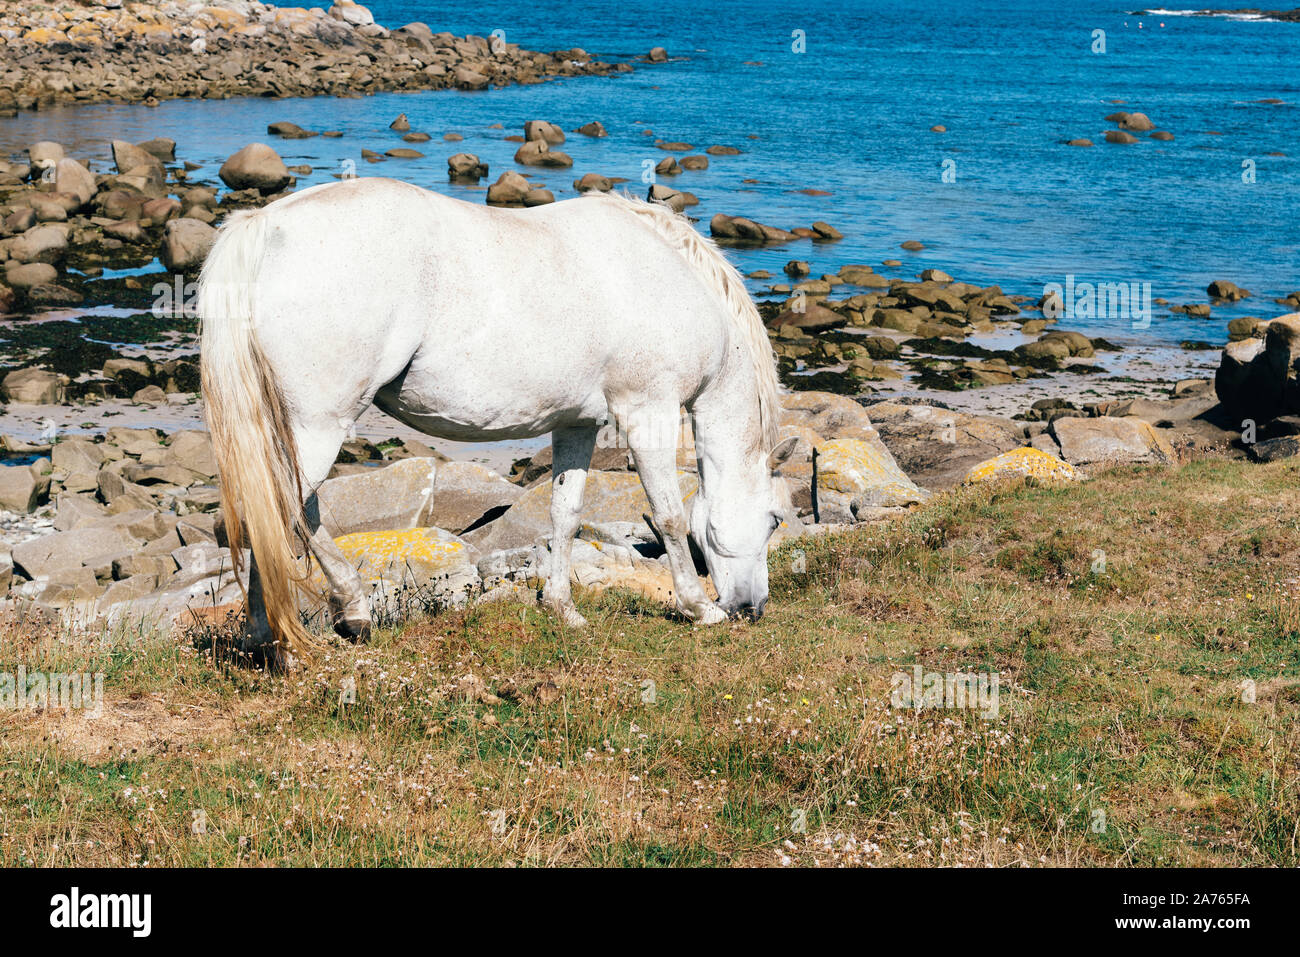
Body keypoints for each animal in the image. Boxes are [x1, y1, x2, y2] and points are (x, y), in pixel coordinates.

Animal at [197, 178, 795, 657]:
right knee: (276, 515)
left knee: (278, 516)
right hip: (317, 426)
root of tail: (265, 227)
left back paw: (308, 623)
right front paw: (698, 608)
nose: (751, 607)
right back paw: (299, 630)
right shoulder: (648, 410)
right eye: (773, 521)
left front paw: (562, 608)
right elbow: (669, 515)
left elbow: (565, 515)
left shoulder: (578, 423)